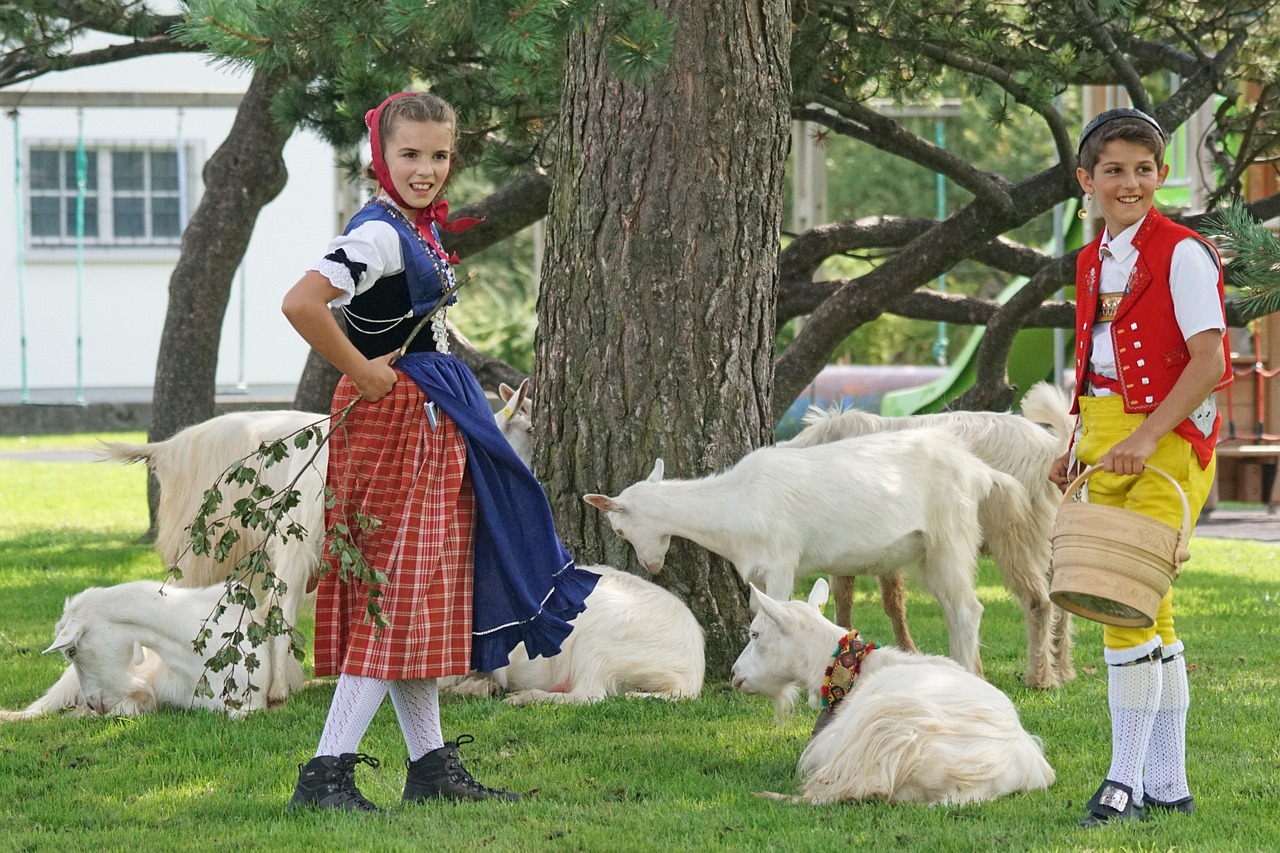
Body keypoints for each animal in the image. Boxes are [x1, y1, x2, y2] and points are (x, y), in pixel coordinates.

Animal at [586, 427, 1034, 676]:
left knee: (967, 608)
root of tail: (979, 471)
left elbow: (770, 609)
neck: (734, 504)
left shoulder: (781, 561)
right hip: (928, 550)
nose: (651, 565)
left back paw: (966, 669)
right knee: (953, 606)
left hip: (951, 536)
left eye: (619, 528)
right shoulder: (757, 568)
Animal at [783, 381, 1075, 686]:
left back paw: (1040, 678)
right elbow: (870, 598)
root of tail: (1051, 448)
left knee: (1037, 600)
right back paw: (1062, 669)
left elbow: (865, 598)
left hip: (1015, 533)